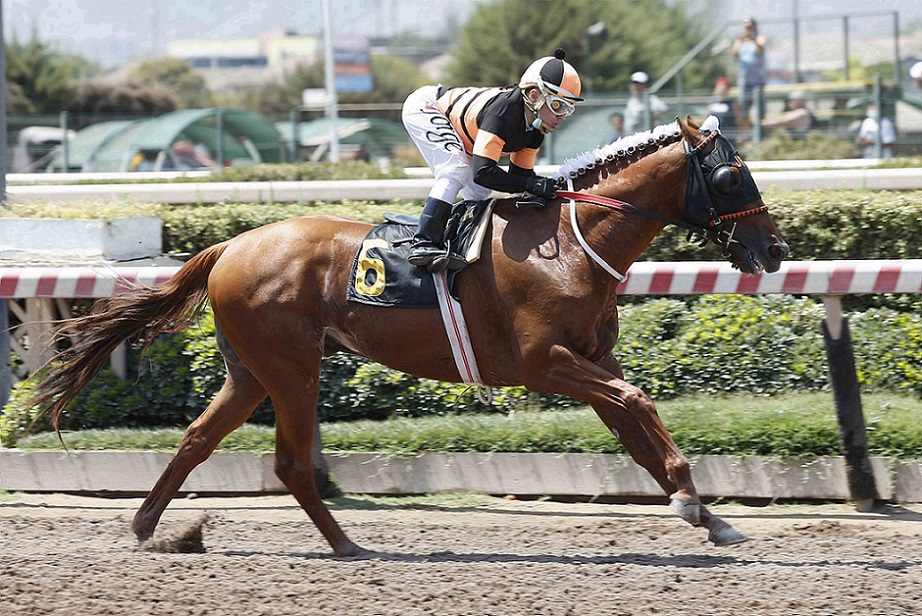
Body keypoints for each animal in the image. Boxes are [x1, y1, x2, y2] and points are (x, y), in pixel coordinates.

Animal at [29, 116, 789, 557]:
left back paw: (147, 527)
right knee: (291, 463)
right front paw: (691, 499)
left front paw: (706, 514)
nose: (774, 250)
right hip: (292, 368)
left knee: (196, 439)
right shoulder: (544, 362)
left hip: (250, 372)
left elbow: (634, 427)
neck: (572, 243)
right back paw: (348, 545)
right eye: (730, 175)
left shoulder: (590, 358)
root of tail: (228, 247)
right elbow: (639, 402)